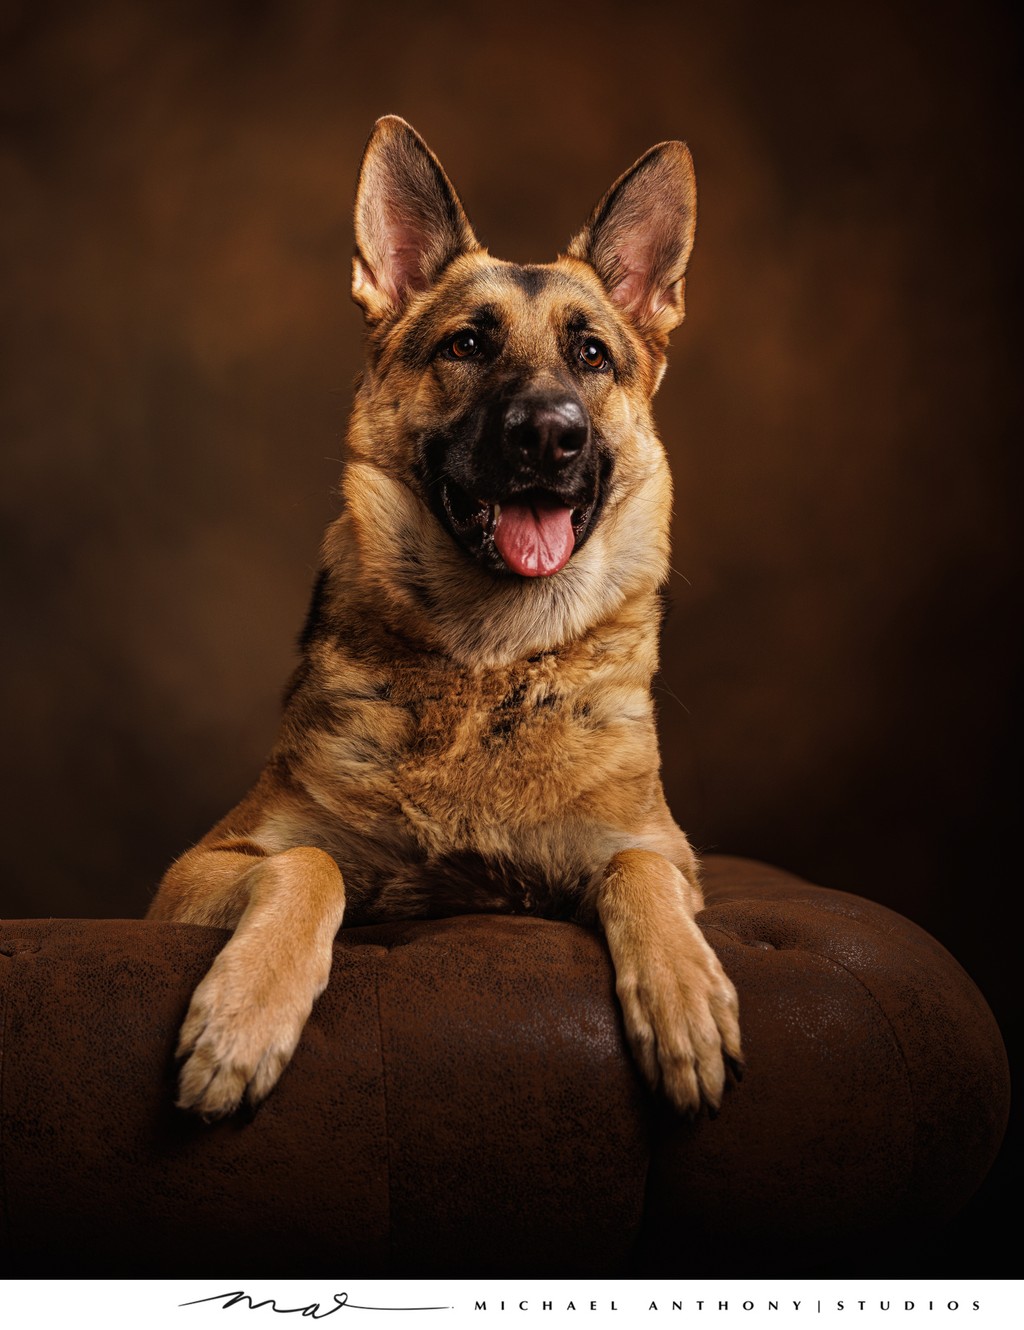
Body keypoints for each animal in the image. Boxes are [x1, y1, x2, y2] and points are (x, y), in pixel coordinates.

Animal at [147, 119, 739, 1122]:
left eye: (592, 356)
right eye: (466, 344)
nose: (551, 434)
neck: (490, 663)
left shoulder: (665, 855)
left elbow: (639, 869)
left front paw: (685, 998)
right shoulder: (199, 869)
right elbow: (311, 865)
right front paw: (244, 1016)